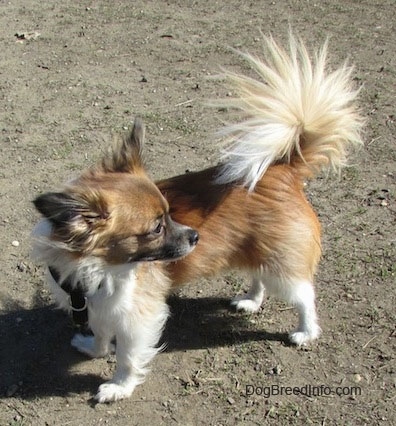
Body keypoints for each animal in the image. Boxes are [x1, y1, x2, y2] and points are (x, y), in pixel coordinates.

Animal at [32, 34, 364, 402]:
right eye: (156, 228)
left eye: (168, 215)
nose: (195, 236)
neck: (100, 268)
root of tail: (283, 169)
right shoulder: (100, 309)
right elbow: (103, 336)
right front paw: (93, 348)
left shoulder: (137, 318)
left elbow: (127, 357)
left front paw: (118, 387)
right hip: (257, 251)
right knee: (259, 276)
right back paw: (250, 301)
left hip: (283, 264)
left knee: (304, 296)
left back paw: (305, 332)